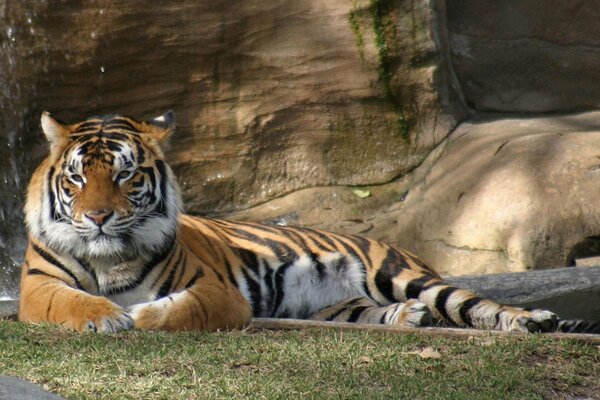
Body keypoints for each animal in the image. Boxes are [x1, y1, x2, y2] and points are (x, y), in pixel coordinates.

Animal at [16, 111, 596, 332]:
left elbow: (177, 309)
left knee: (476, 305)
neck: (108, 256)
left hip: (403, 274)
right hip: (342, 304)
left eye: (126, 174)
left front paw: (138, 315)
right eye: (76, 178)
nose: (97, 217)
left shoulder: (215, 289)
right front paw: (107, 316)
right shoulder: (37, 287)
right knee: (376, 314)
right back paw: (408, 319)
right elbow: (71, 301)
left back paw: (532, 320)